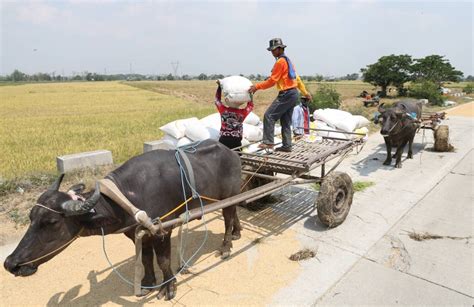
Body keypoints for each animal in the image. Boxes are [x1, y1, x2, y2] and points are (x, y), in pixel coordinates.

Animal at [2, 141, 241, 302]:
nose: (10, 263)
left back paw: (226, 246)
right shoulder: (137, 233)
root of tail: (231, 152)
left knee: (228, 219)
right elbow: (145, 259)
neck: (127, 197)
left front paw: (168, 287)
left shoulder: (162, 230)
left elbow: (163, 260)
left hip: (228, 197)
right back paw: (237, 233)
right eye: (31, 217)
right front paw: (147, 283)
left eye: (51, 222)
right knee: (236, 213)